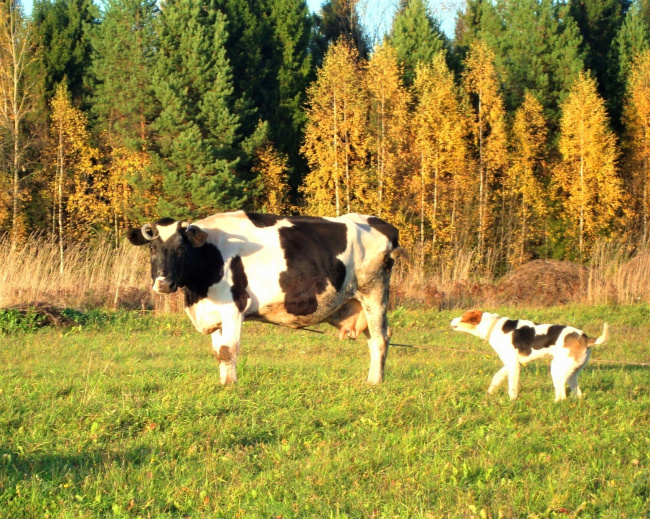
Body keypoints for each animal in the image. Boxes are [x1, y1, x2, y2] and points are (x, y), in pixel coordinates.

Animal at [125, 211, 400, 386]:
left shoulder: (233, 308)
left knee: (380, 340)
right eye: (152, 248)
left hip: (374, 294)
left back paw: (374, 382)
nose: (164, 283)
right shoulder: (214, 312)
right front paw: (223, 382)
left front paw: (231, 385)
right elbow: (218, 351)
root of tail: (380, 224)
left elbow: (228, 350)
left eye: (181, 249)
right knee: (374, 339)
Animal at [450, 310, 608, 404]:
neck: (494, 326)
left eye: (463, 316)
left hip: (556, 371)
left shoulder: (513, 365)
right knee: (577, 393)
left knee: (561, 395)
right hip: (571, 373)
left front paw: (512, 402)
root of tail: (584, 337)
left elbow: (512, 387)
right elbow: (497, 377)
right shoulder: (510, 363)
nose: (451, 319)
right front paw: (489, 393)